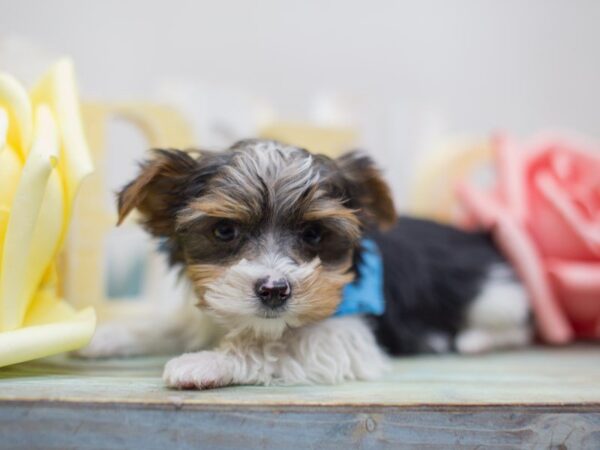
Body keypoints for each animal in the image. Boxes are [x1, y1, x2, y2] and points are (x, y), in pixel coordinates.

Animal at [78, 139, 528, 388]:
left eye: (313, 234)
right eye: (224, 231)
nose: (274, 290)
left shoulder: (347, 334)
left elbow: (279, 346)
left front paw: (207, 362)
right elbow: (174, 326)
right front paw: (104, 337)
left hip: (494, 297)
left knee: (519, 323)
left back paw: (474, 340)